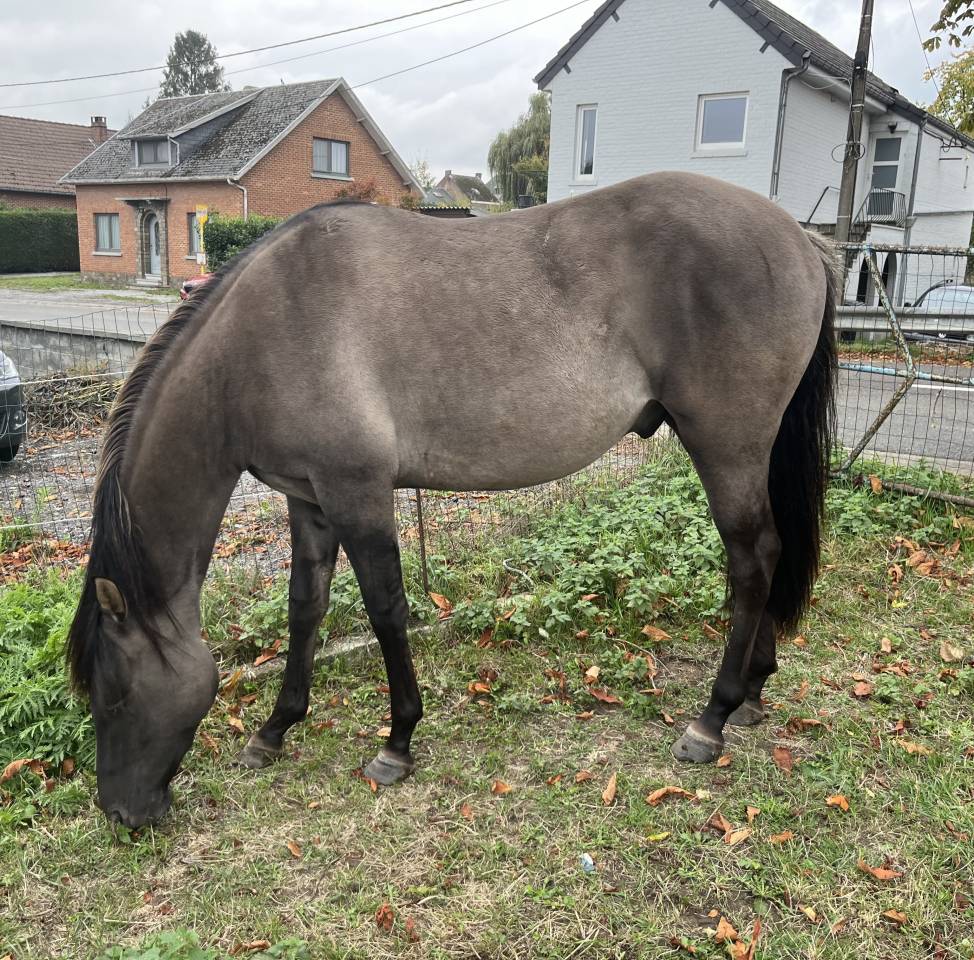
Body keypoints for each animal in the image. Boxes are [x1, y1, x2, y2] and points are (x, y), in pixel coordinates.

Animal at [67, 171, 837, 829]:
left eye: (114, 694)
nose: (121, 813)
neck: (264, 332)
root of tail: (802, 240)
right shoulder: (308, 500)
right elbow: (305, 609)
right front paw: (276, 729)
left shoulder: (358, 493)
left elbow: (386, 610)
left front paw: (397, 742)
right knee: (765, 553)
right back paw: (753, 693)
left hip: (725, 445)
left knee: (751, 558)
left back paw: (712, 719)